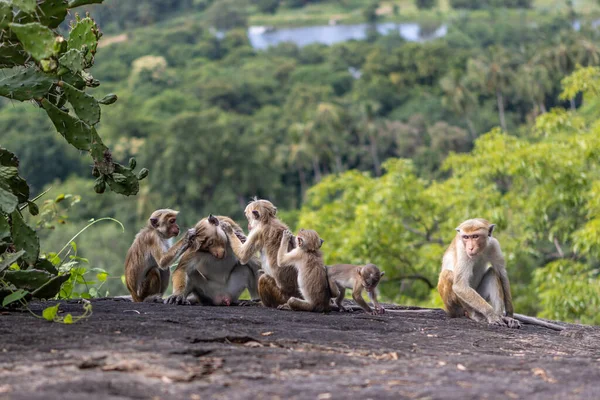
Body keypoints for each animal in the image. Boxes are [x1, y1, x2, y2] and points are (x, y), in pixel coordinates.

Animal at [436, 219, 568, 332]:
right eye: (466, 237)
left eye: (475, 236)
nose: (470, 247)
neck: (481, 250)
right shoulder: (463, 250)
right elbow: (460, 285)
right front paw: (491, 315)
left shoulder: (494, 244)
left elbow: (501, 273)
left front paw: (509, 316)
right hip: (453, 307)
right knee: (448, 274)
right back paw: (474, 315)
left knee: (492, 274)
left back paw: (501, 316)